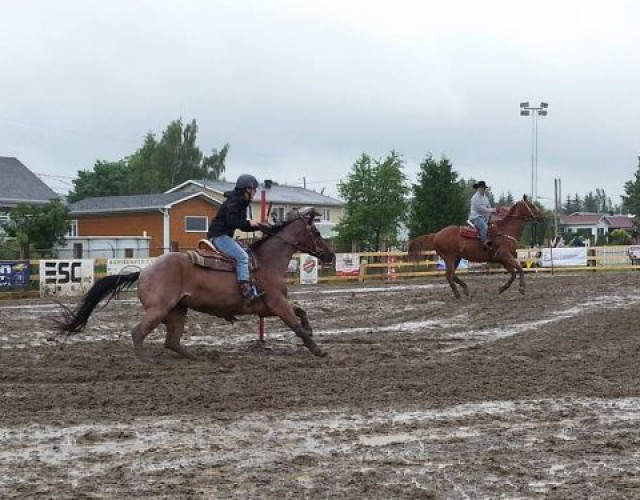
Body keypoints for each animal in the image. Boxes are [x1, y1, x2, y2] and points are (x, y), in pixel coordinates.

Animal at [55, 207, 336, 360]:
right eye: (317, 232)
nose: (331, 255)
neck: (266, 262)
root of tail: (145, 270)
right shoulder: (276, 304)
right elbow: (295, 325)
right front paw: (317, 350)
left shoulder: (267, 307)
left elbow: (302, 312)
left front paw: (311, 331)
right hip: (159, 310)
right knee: (139, 333)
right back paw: (145, 361)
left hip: (178, 311)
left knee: (172, 341)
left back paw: (200, 357)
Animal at [410, 195, 544, 296]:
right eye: (532, 205)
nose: (542, 216)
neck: (506, 230)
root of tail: (436, 234)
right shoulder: (504, 255)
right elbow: (520, 269)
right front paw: (522, 288)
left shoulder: (502, 258)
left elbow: (513, 273)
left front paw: (502, 289)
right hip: (449, 258)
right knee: (449, 275)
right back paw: (458, 294)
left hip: (456, 258)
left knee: (452, 274)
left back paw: (465, 289)